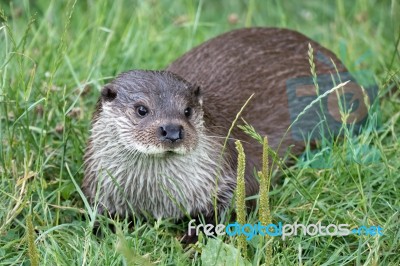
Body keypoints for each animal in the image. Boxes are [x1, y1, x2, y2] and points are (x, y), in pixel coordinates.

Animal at [82, 27, 368, 229]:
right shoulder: (99, 187)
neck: (155, 198)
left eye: (187, 110)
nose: (172, 130)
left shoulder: (227, 175)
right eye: (142, 109)